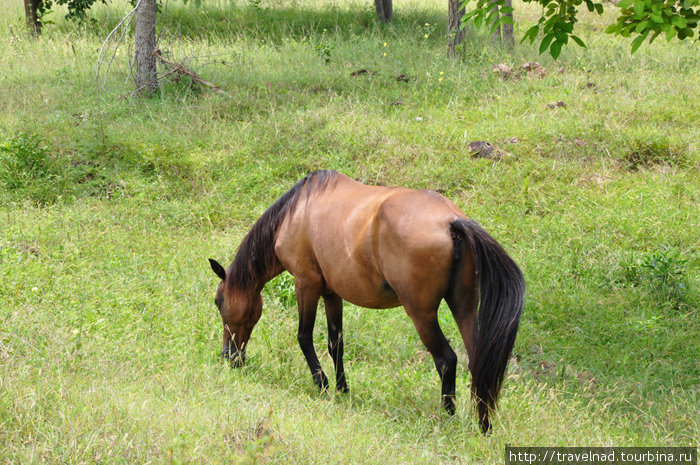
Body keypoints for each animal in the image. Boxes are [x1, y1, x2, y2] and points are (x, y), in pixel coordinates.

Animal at [211, 169, 524, 432]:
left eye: (218, 301)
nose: (229, 357)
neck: (294, 213)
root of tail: (450, 221)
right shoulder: (331, 293)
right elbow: (335, 344)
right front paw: (342, 389)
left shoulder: (306, 284)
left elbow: (304, 336)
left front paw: (322, 384)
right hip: (463, 307)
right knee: (478, 361)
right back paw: (482, 424)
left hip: (421, 314)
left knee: (446, 360)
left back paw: (448, 417)